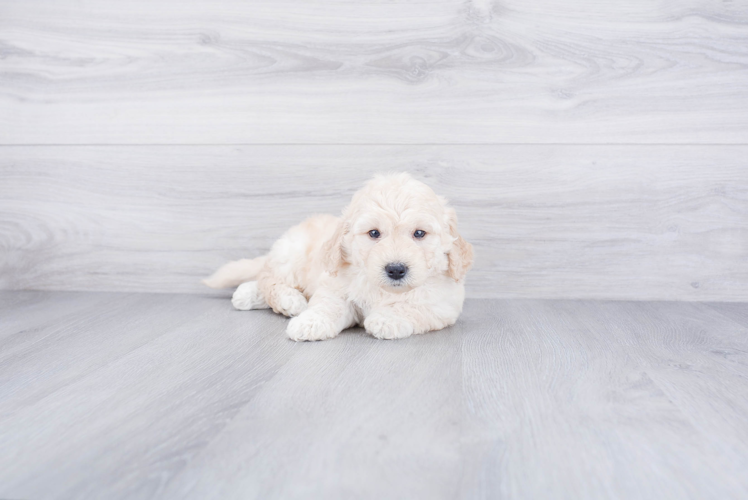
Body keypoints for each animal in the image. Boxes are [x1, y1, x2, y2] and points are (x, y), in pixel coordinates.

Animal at [203, 172, 474, 340]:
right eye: (374, 233)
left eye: (419, 233)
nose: (396, 269)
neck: (383, 290)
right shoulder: (335, 287)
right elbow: (328, 306)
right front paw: (310, 323)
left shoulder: (443, 304)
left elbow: (412, 307)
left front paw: (386, 319)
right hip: (292, 254)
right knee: (268, 278)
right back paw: (287, 300)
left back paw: (246, 294)